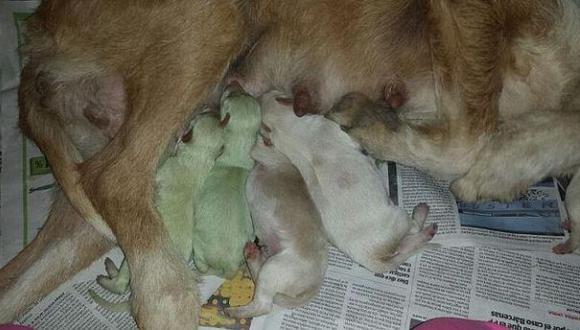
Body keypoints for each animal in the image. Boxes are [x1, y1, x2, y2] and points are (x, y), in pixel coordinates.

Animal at [191, 84, 262, 278]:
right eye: (243, 93)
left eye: (226, 97)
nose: (232, 83)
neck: (239, 151)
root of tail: (226, 265)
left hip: (198, 248)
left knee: (201, 265)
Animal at [224, 139, 328, 318]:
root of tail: (315, 285)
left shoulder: (265, 153)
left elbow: (256, 146)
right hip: (269, 265)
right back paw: (252, 254)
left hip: (273, 269)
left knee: (263, 305)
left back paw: (234, 312)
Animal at [260, 91, 438, 274]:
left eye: (273, 92)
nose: (265, 93)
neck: (284, 129)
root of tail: (374, 258)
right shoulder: (340, 130)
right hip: (399, 218)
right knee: (413, 227)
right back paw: (422, 213)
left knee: (407, 245)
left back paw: (427, 232)